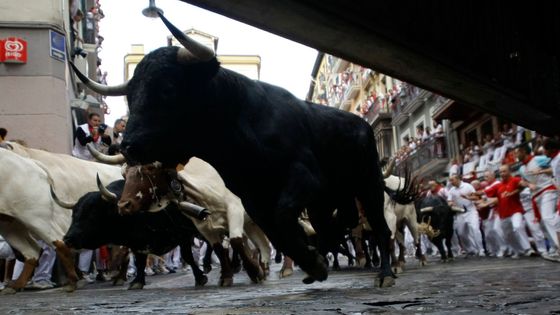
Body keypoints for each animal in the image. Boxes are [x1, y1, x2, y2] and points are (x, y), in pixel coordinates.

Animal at [61, 181, 209, 290]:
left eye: (92, 213)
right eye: (74, 214)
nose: (67, 239)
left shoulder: (183, 235)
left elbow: (188, 256)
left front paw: (200, 278)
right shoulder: (138, 244)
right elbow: (140, 262)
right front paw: (137, 282)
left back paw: (207, 265)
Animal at [73, 14, 394, 286]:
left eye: (167, 88)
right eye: (131, 96)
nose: (128, 146)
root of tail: (360, 122)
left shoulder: (303, 178)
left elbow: (282, 218)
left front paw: (310, 262)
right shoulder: (252, 199)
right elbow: (277, 233)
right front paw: (312, 263)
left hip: (368, 183)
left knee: (380, 228)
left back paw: (385, 273)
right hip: (329, 198)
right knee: (341, 221)